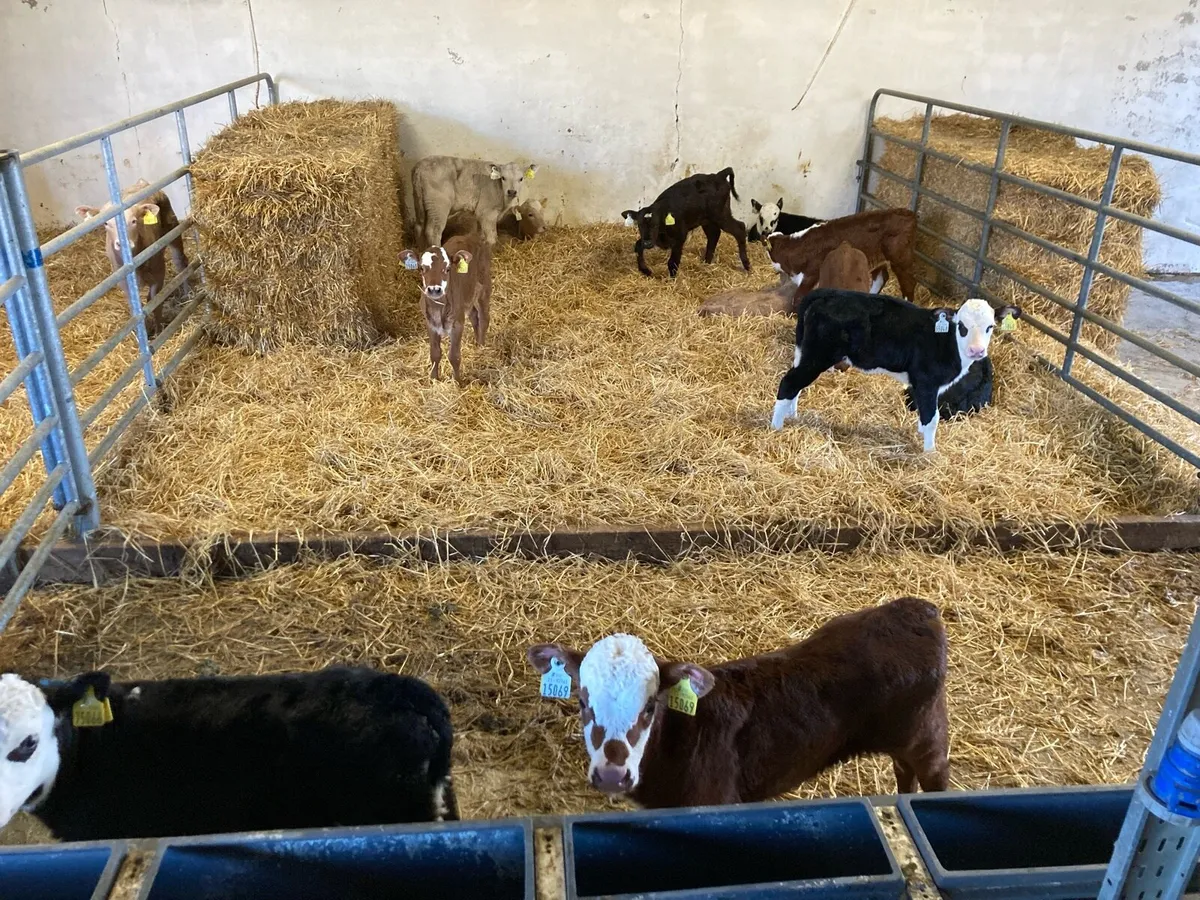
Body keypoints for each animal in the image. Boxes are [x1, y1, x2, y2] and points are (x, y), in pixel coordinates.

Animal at [527, 597, 949, 809]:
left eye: (649, 707)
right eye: (583, 702)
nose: (613, 775)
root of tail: (919, 609)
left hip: (928, 741)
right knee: (902, 772)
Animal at [621, 168, 750, 278]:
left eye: (655, 224)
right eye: (639, 225)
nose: (647, 243)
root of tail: (718, 175)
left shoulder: (680, 237)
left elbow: (672, 262)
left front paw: (672, 280)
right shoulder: (653, 239)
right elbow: (638, 245)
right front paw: (645, 270)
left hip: (720, 215)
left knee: (740, 228)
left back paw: (747, 265)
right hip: (706, 219)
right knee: (714, 235)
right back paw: (706, 263)